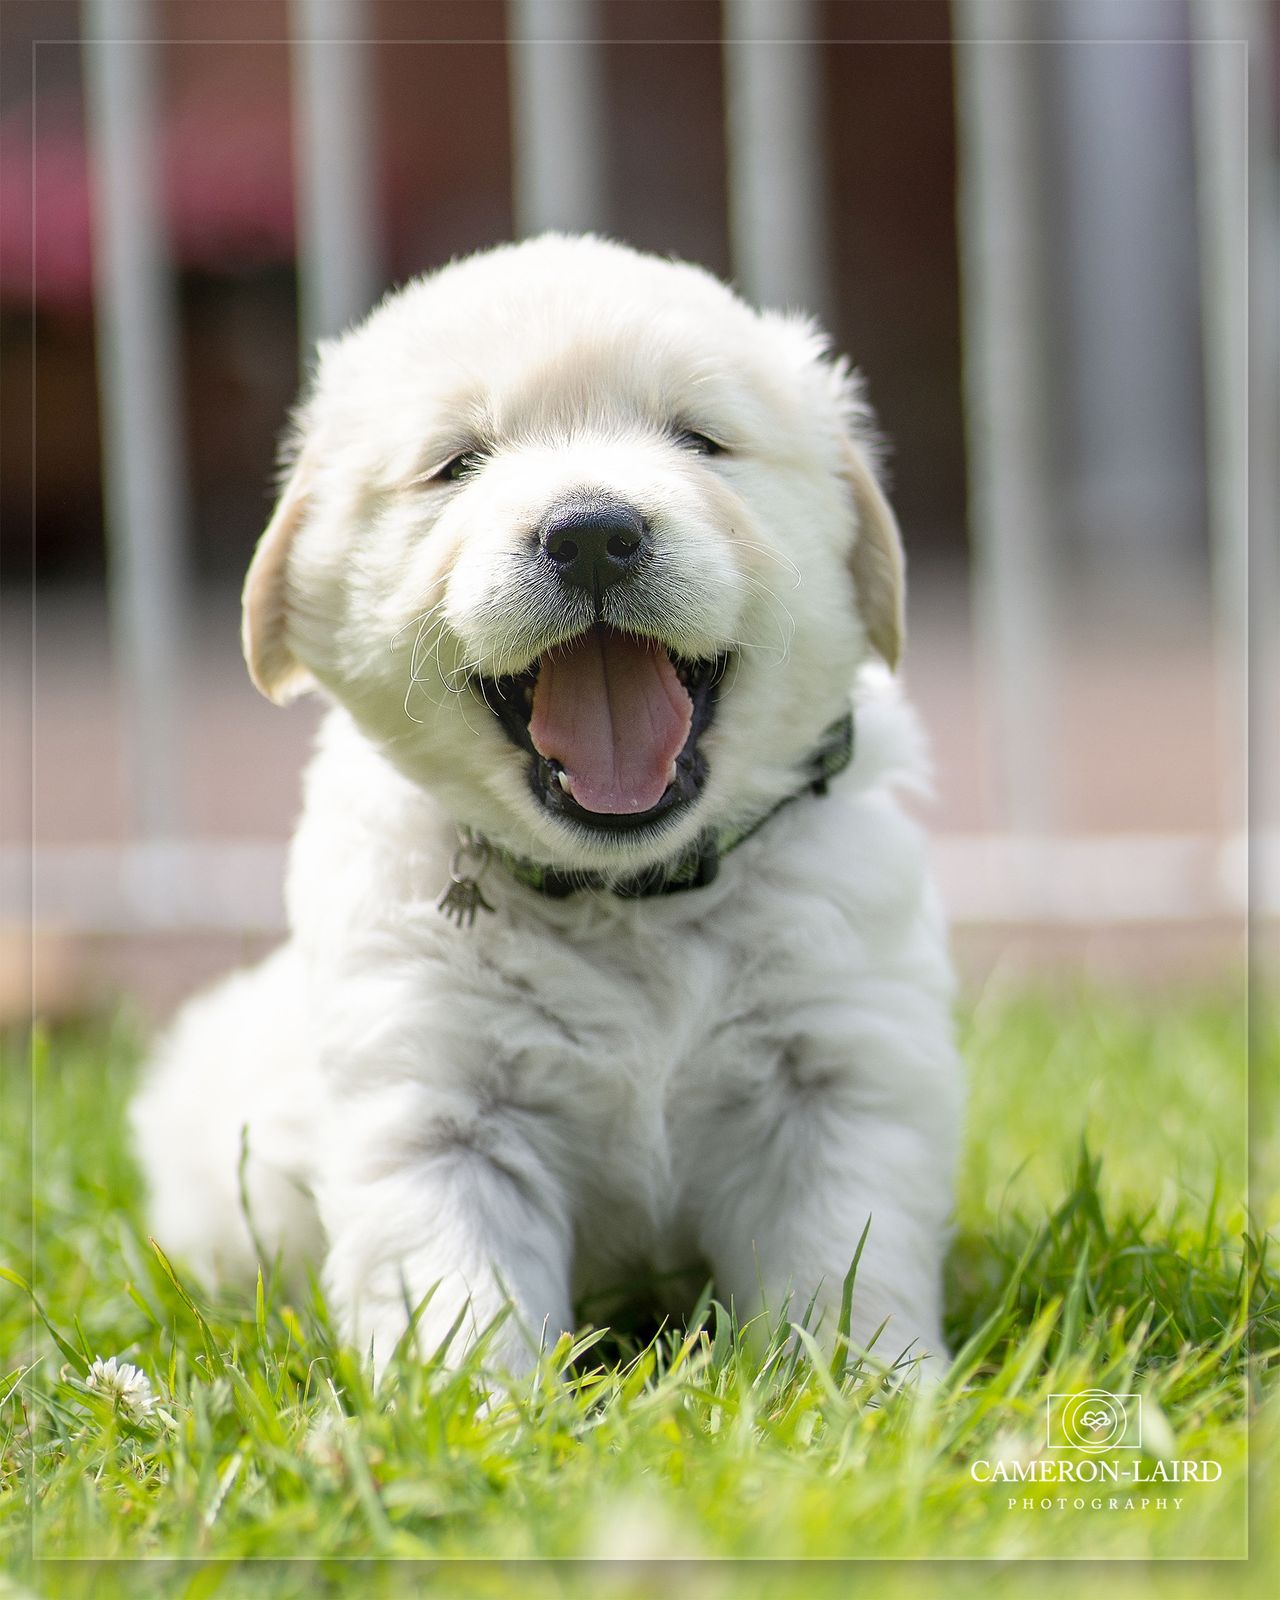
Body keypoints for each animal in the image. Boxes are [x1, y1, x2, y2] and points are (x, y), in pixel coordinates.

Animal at [131, 234, 963, 1378]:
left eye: (700, 439)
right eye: (457, 463)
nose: (594, 534)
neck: (626, 892)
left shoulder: (834, 1073)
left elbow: (843, 1267)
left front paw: (871, 1392)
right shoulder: (438, 1110)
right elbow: (457, 1294)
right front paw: (474, 1411)